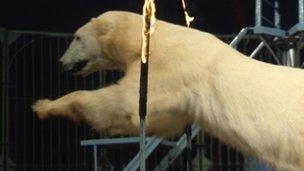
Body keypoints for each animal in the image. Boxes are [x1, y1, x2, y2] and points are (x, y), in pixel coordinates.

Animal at [32, 11, 304, 170]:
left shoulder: (170, 66)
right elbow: (164, 119)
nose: (60, 61)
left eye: (77, 37)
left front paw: (44, 106)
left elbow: (123, 103)